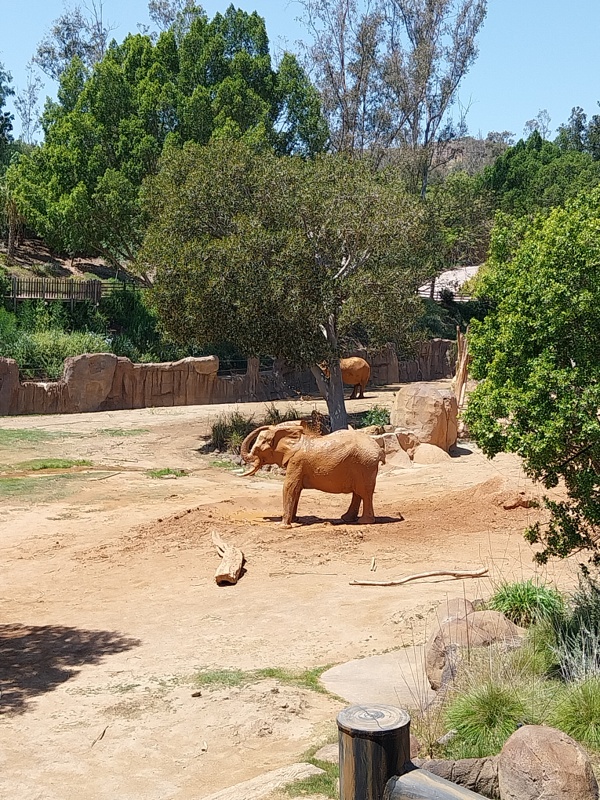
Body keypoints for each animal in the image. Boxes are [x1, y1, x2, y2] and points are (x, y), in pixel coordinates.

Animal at [240, 422, 384, 527]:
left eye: (258, 449)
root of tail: (378, 449)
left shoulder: (296, 462)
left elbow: (289, 487)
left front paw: (283, 526)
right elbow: (296, 489)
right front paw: (295, 520)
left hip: (365, 465)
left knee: (364, 493)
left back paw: (364, 522)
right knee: (358, 493)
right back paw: (347, 518)